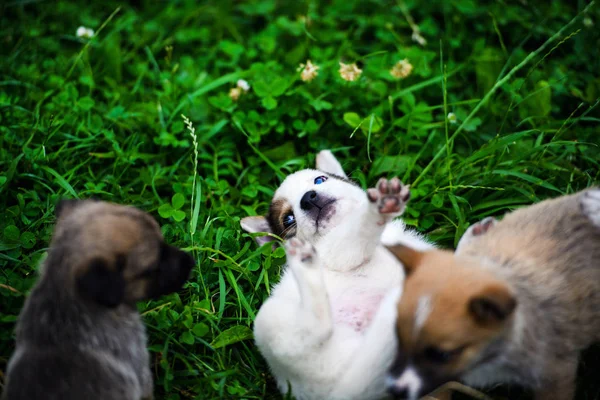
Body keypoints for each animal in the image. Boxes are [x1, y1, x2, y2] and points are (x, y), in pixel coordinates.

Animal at [241, 151, 434, 400]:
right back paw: (305, 266)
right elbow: (358, 230)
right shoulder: (337, 251)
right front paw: (376, 209)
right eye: (288, 219)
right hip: (270, 321)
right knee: (316, 328)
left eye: (320, 180)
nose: (308, 198)